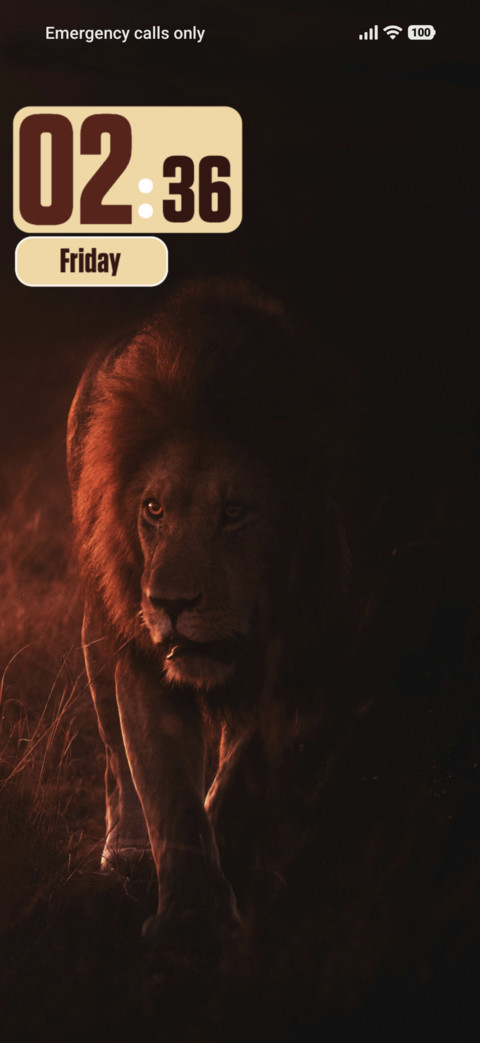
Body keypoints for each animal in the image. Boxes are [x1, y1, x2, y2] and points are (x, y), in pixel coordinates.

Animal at [67, 277, 349, 967]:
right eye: (153, 509)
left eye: (234, 512)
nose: (169, 603)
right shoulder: (144, 658)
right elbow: (166, 787)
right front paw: (191, 920)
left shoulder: (299, 652)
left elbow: (245, 770)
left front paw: (232, 859)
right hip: (101, 629)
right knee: (115, 757)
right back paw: (128, 853)